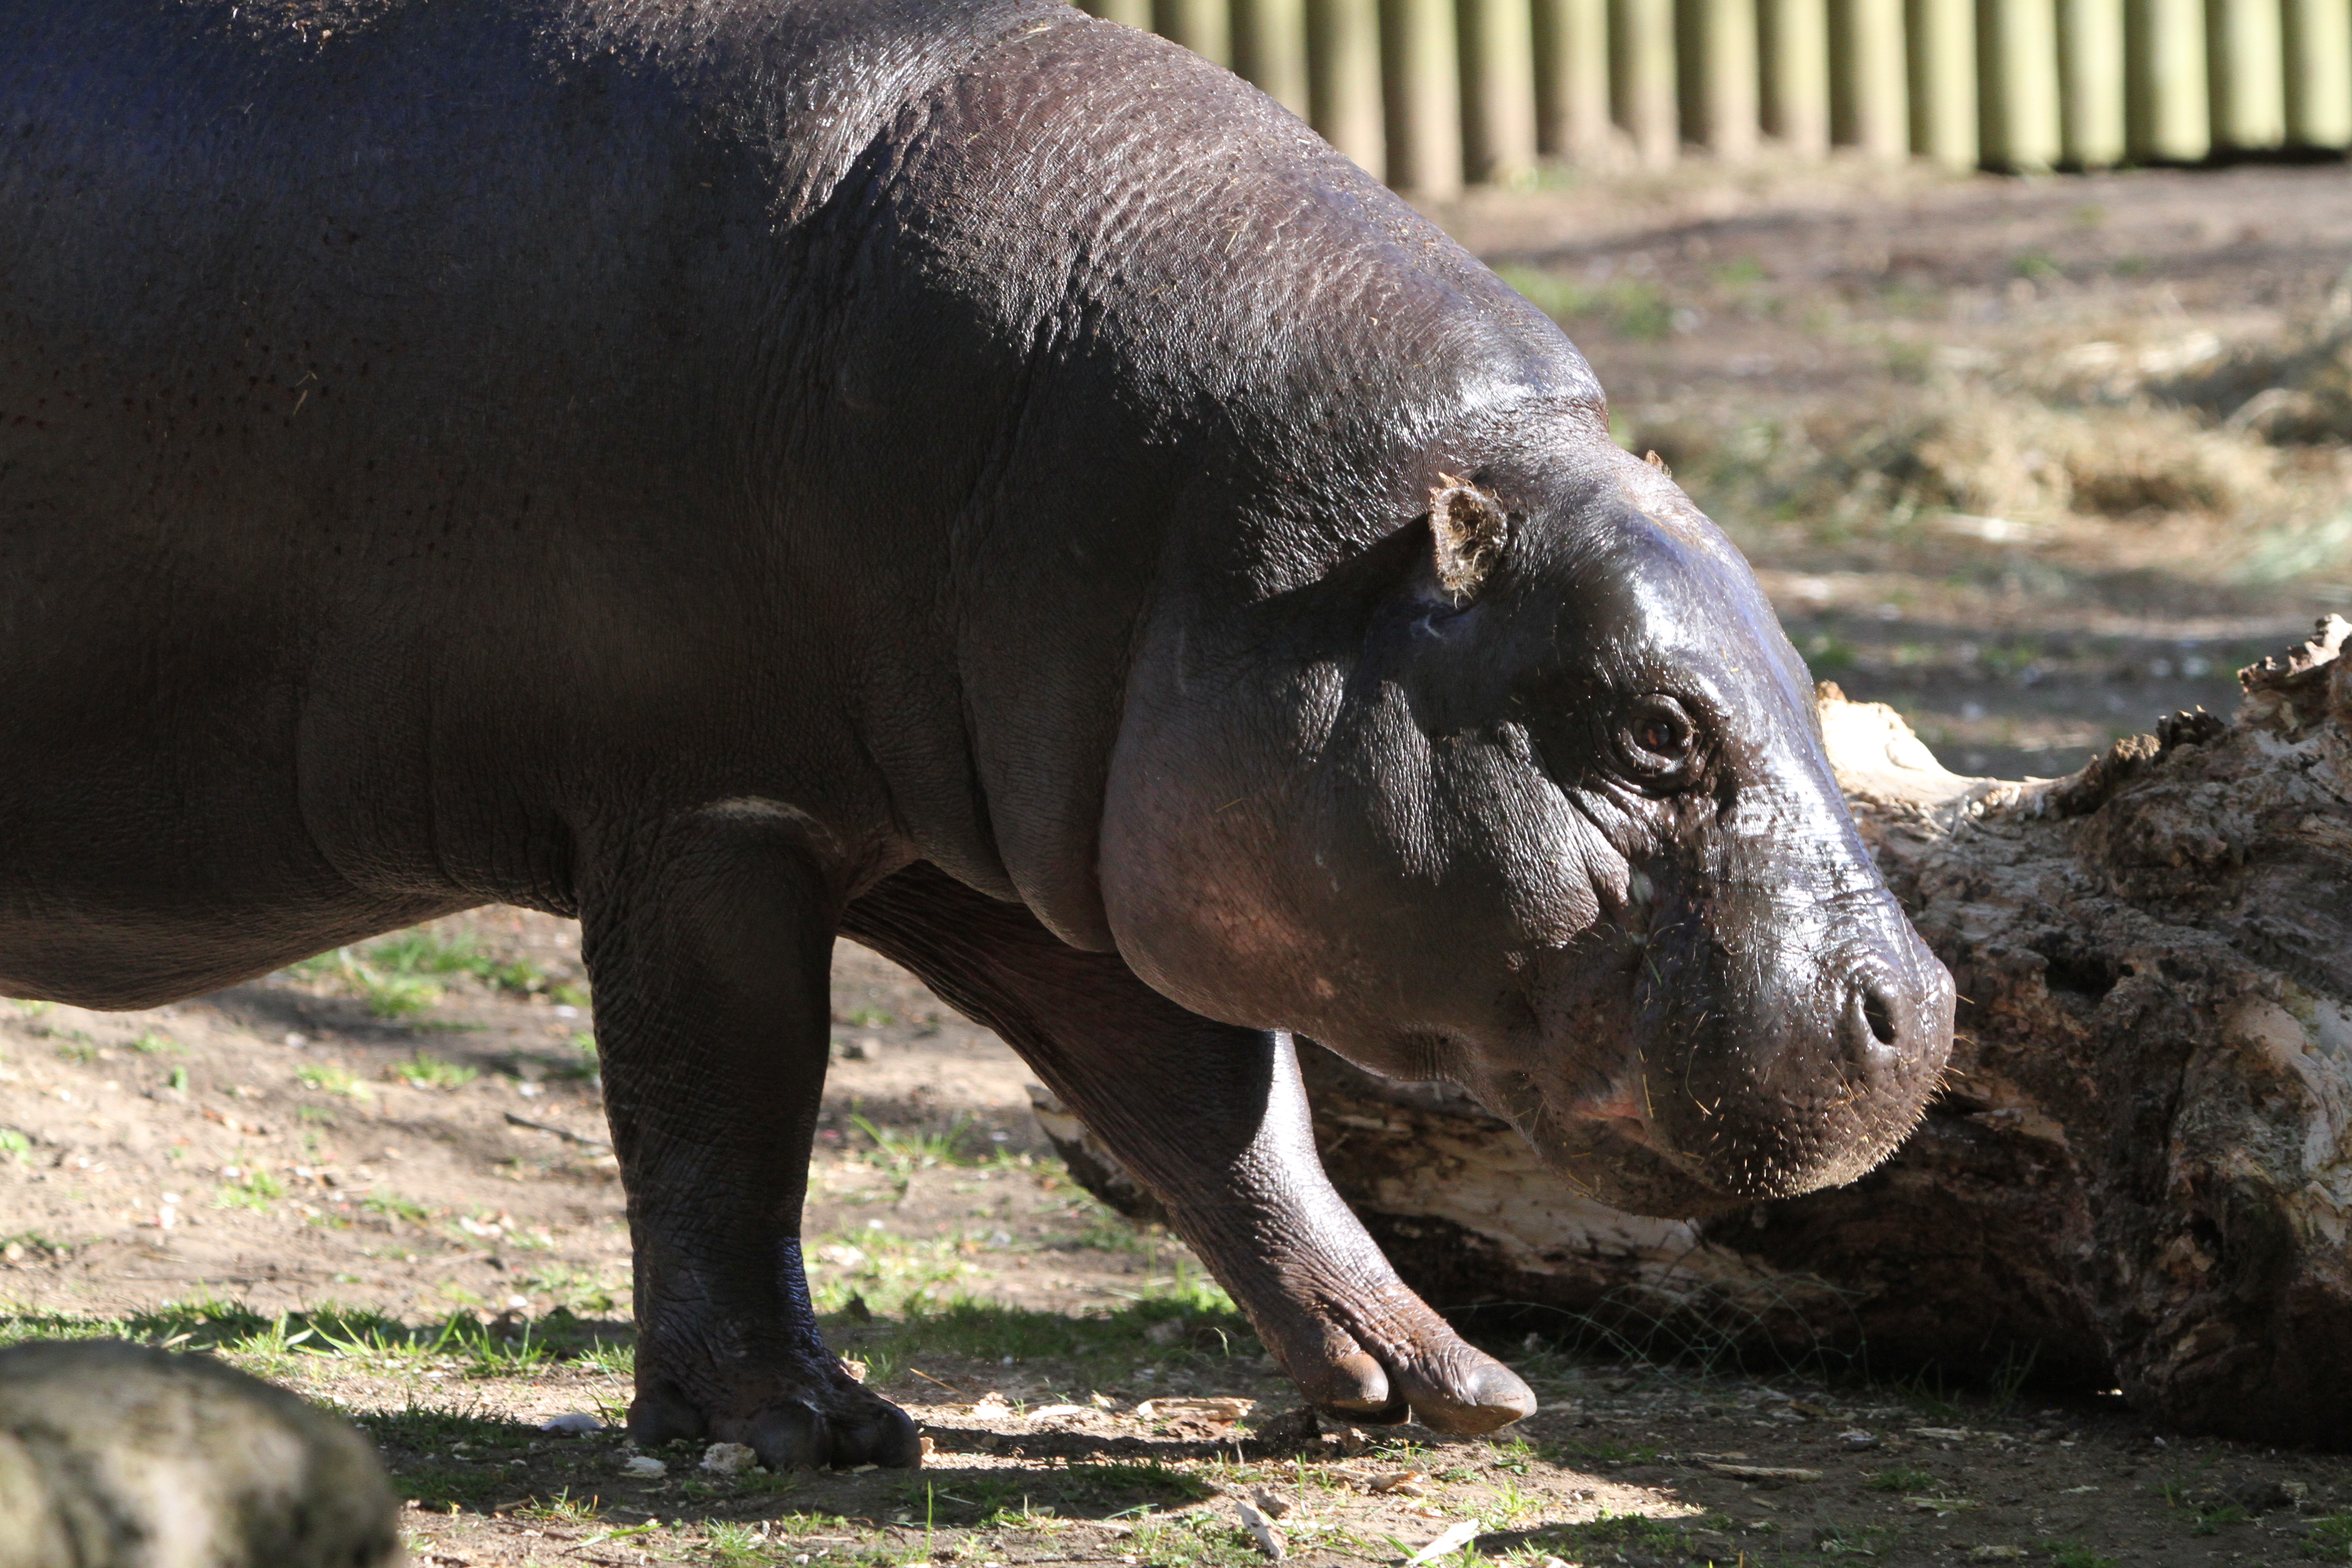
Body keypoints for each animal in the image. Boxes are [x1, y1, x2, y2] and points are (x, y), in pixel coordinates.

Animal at [0, 0, 1947, 1476]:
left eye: (1798, 669)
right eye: (1654, 728)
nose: (1922, 1012)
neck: (1238, 529)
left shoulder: (1047, 840)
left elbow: (1220, 1105)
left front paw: (1439, 1383)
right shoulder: (713, 811)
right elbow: (727, 1114)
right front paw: (814, 1431)